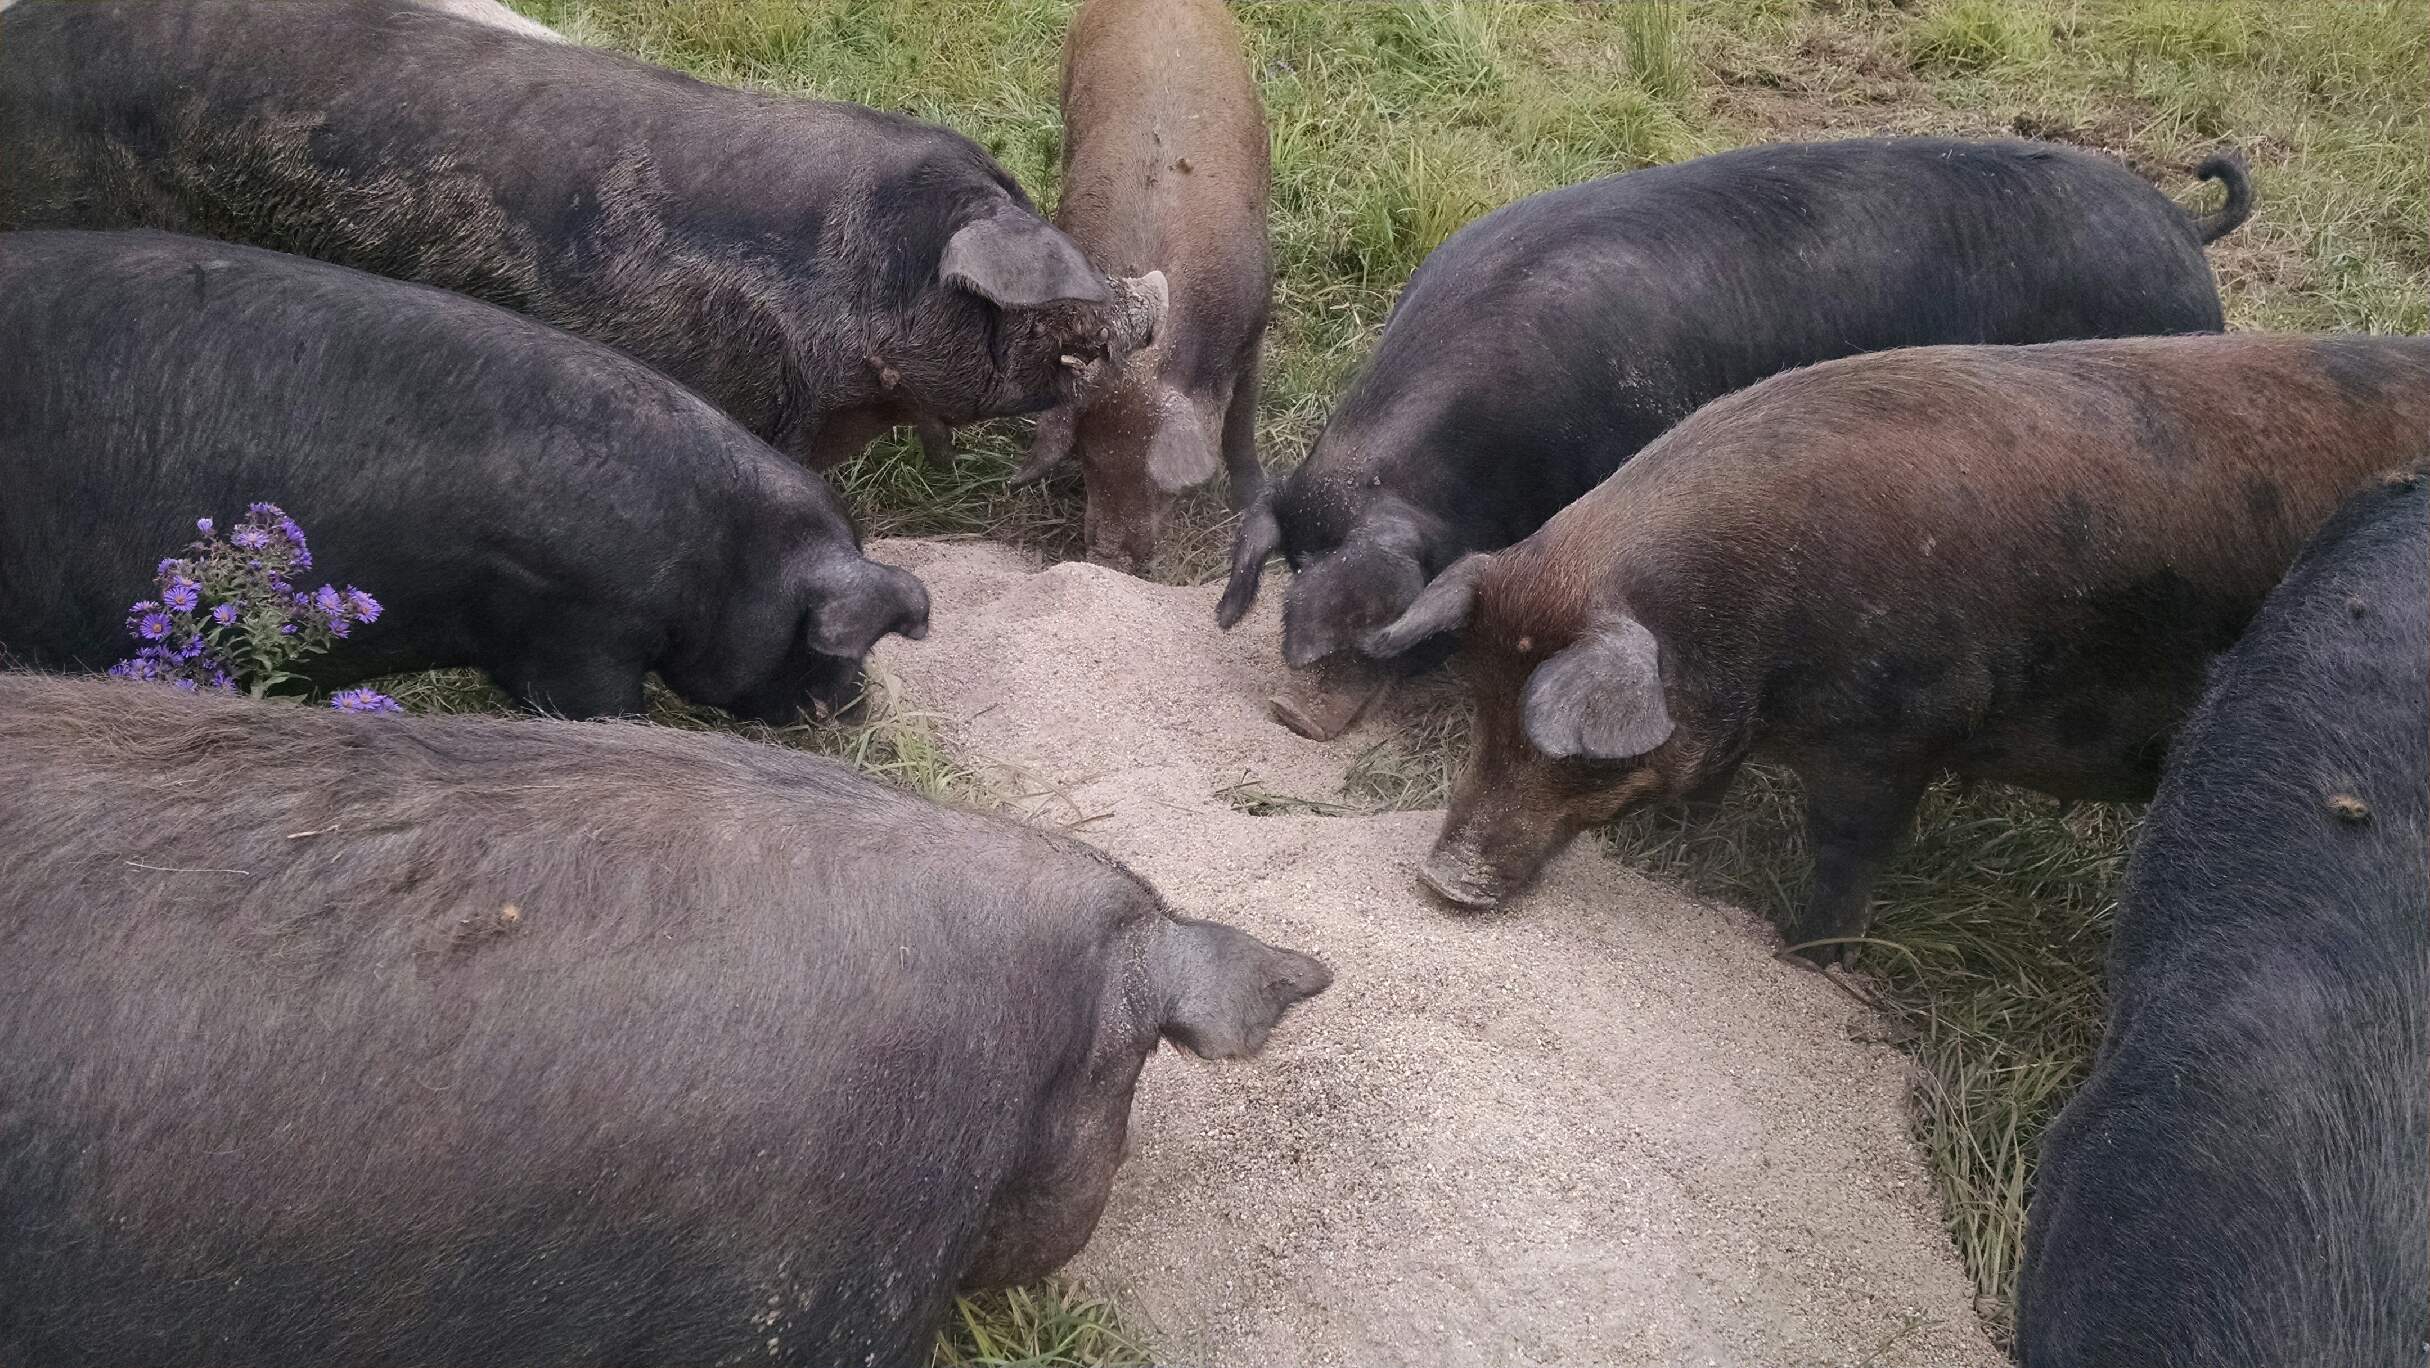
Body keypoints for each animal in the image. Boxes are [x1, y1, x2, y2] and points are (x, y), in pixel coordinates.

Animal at [1370, 335, 2430, 962]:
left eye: (1570, 751)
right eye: (1481, 707)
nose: (1438, 878)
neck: (1752, 621)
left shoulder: (1896, 734)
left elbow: (1848, 856)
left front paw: (1808, 958)